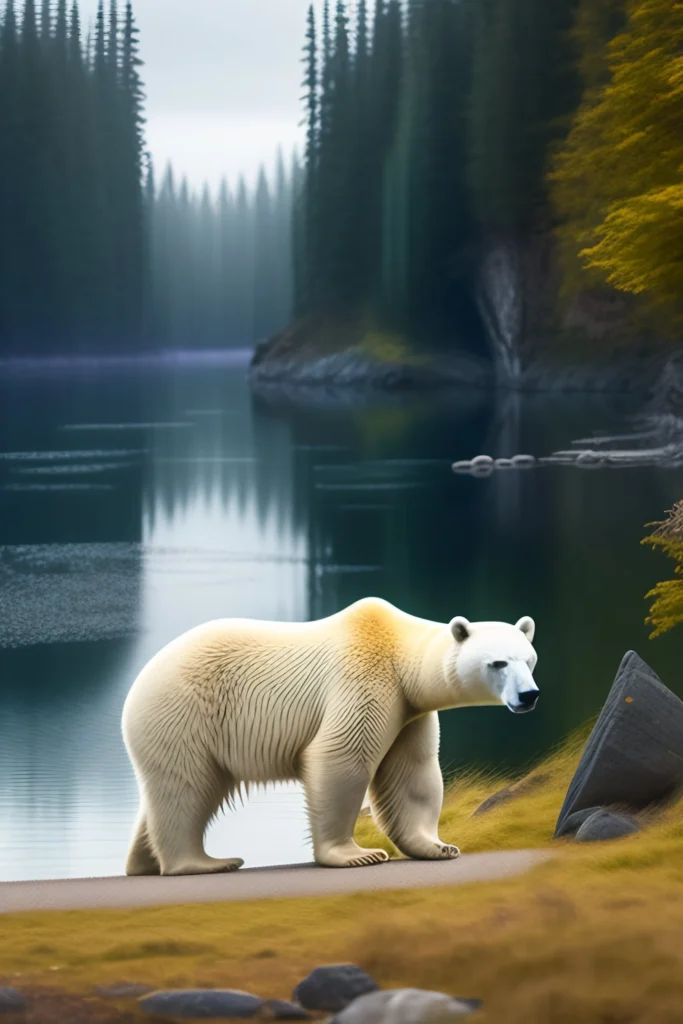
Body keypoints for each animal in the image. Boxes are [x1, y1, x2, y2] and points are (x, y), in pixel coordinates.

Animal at [121, 597, 538, 876]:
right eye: (498, 662)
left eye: (529, 659)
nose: (529, 696)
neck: (398, 651)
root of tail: (137, 682)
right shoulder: (364, 681)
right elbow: (341, 759)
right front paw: (357, 855)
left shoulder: (410, 711)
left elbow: (413, 773)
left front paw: (439, 846)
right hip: (185, 714)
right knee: (188, 788)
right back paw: (203, 862)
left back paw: (142, 863)